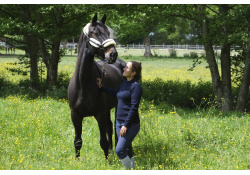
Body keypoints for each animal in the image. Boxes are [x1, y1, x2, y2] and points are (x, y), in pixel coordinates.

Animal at [67, 14, 126, 159]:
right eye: (97, 33)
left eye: (109, 33)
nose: (113, 54)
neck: (82, 84)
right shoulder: (75, 115)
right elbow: (77, 141)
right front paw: (77, 160)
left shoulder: (99, 114)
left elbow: (102, 141)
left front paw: (107, 161)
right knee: (109, 126)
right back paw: (111, 149)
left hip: (116, 106)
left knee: (114, 128)